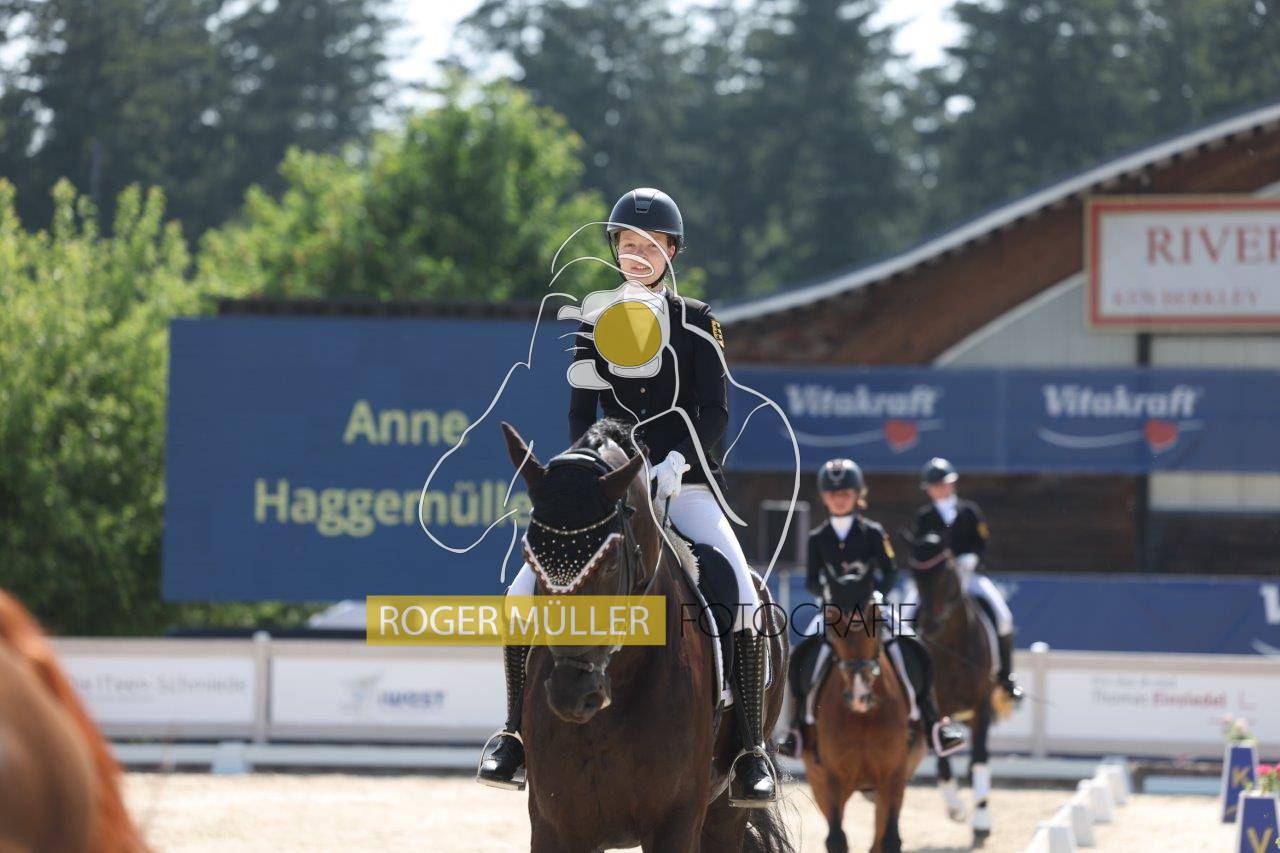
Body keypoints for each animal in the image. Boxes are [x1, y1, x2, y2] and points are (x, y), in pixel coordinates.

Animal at [499, 419, 792, 853]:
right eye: (529, 557)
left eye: (609, 563)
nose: (571, 693)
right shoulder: (554, 824)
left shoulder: (677, 821)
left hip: (724, 810)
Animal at [798, 564, 923, 853]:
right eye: (831, 619)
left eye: (875, 618)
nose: (859, 695)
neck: (863, 717)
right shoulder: (830, 779)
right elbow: (836, 839)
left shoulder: (895, 776)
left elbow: (890, 840)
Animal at [901, 531, 1011, 847]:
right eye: (914, 575)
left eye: (948, 575)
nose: (929, 626)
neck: (950, 650)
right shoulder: (935, 710)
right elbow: (942, 759)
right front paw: (955, 807)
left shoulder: (982, 707)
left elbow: (980, 759)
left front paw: (982, 821)